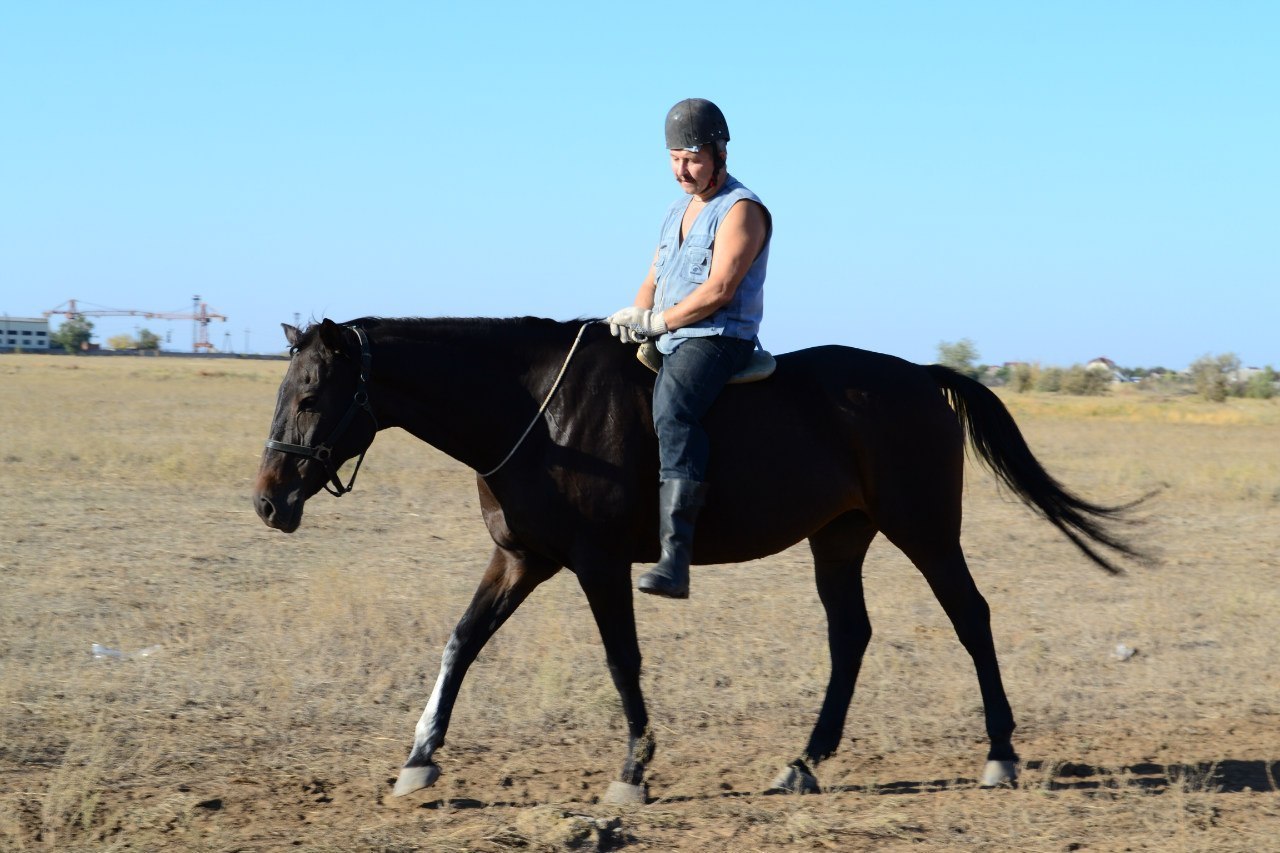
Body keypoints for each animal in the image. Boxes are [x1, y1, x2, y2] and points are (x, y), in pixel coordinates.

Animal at [252, 315, 1141, 799]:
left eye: (311, 396)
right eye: (281, 392)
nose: (267, 500)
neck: (537, 413)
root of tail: (922, 376)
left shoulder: (597, 563)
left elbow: (622, 660)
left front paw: (633, 770)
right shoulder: (520, 559)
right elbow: (461, 642)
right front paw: (418, 757)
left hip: (923, 530)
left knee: (970, 618)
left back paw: (1000, 753)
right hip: (840, 536)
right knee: (850, 636)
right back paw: (804, 761)